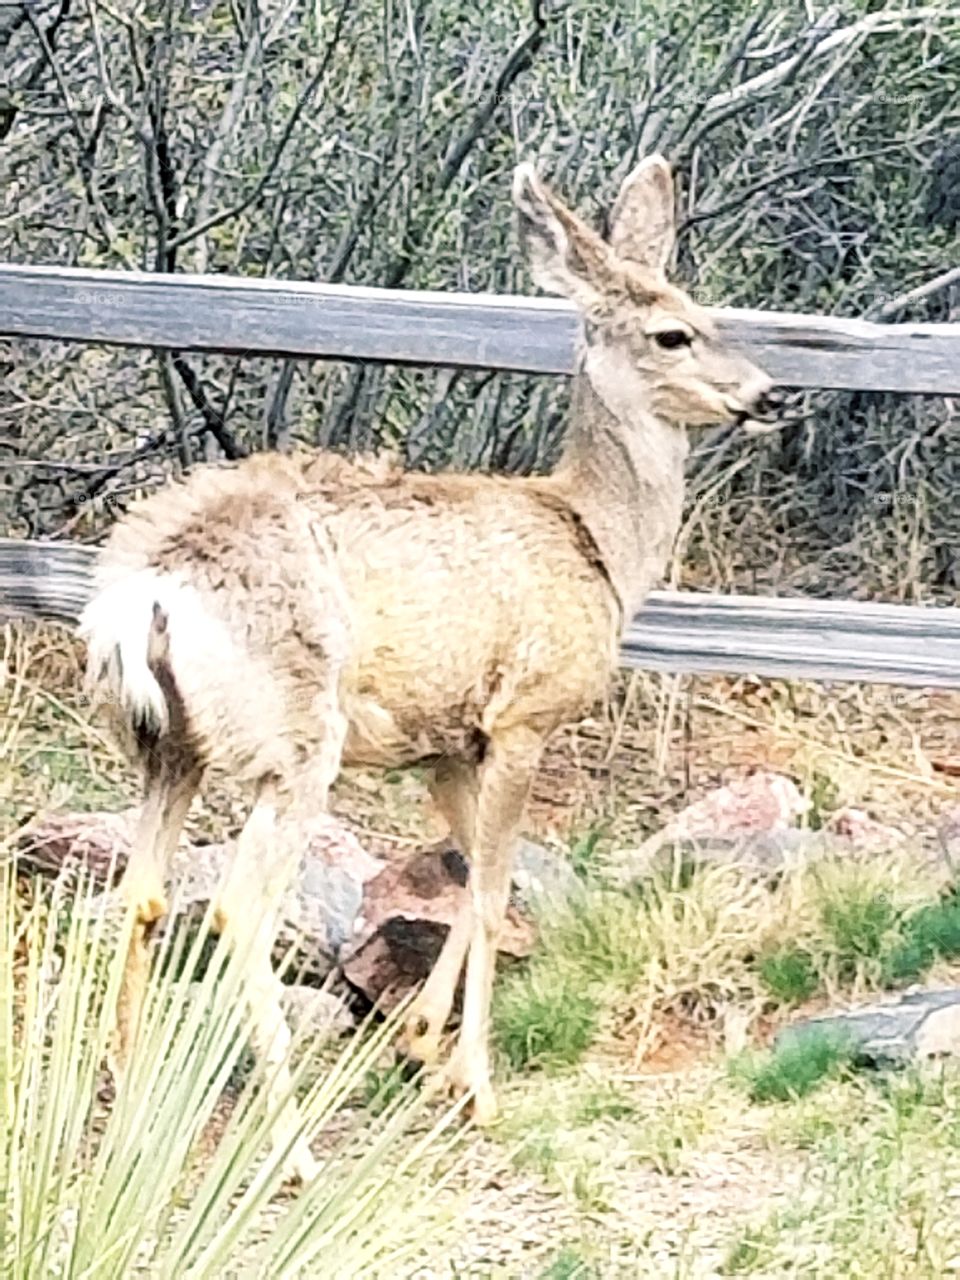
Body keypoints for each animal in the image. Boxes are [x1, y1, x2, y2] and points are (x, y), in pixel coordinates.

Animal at [77, 154, 783, 1182]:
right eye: (673, 331)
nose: (767, 394)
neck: (597, 543)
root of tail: (144, 595)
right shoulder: (526, 716)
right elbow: (488, 895)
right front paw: (475, 1086)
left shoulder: (451, 743)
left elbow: (480, 882)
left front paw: (418, 1044)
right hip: (296, 739)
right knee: (238, 908)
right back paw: (295, 1151)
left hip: (167, 746)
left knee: (142, 893)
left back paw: (128, 1105)